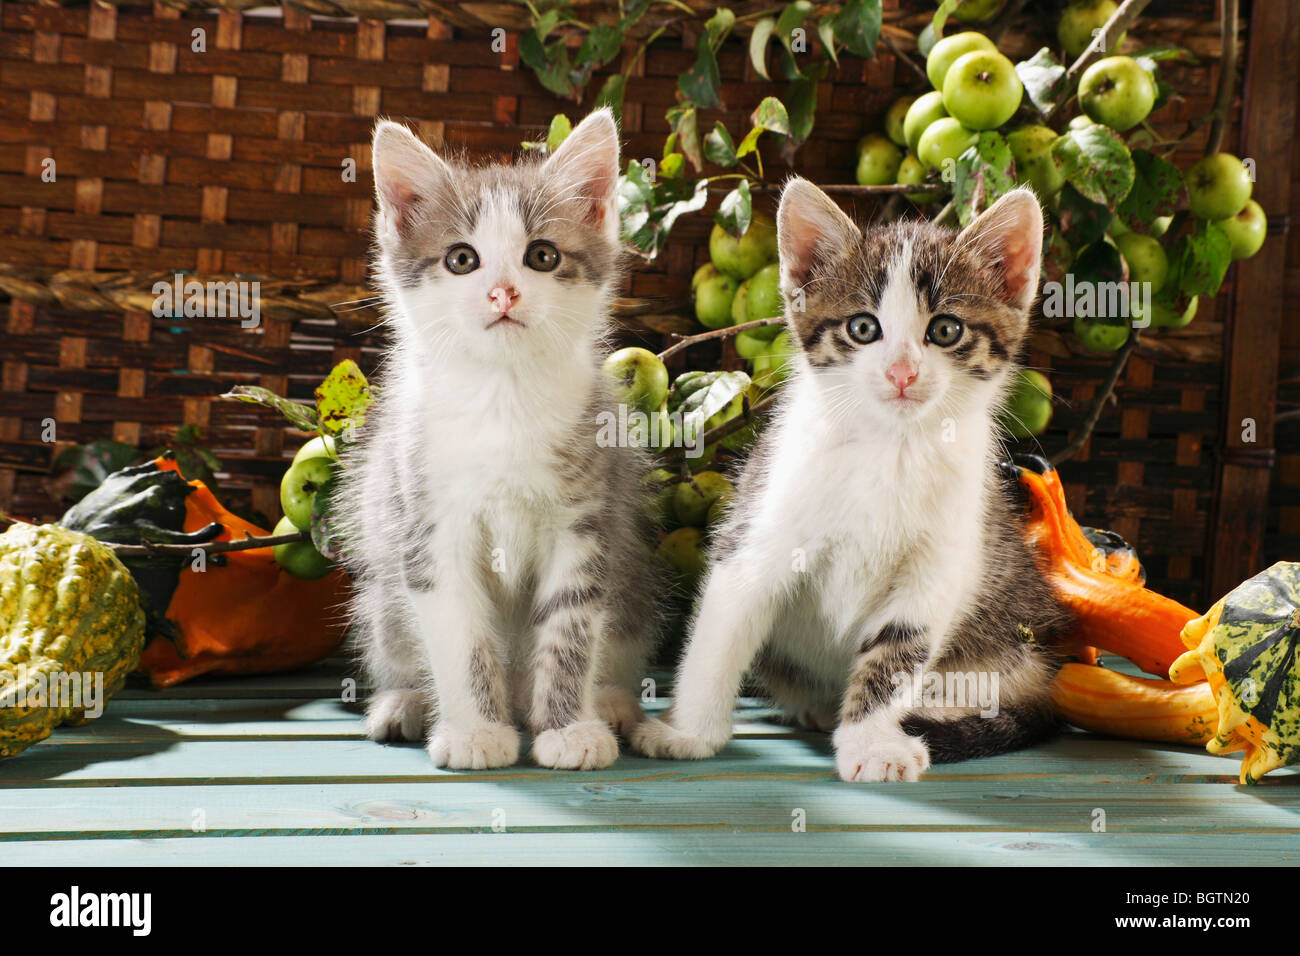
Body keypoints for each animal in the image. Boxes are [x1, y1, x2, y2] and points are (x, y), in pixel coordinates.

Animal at [338, 110, 660, 770]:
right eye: (463, 259)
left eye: (542, 255)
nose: (503, 292)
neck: (502, 395)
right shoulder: (427, 522)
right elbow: (461, 633)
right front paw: (475, 731)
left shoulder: (586, 521)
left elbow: (570, 626)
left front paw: (568, 729)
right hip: (382, 592)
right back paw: (404, 702)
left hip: (633, 577)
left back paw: (610, 703)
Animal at [629, 180, 1066, 785]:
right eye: (863, 328)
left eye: (945, 329)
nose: (901, 372)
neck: (890, 445)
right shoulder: (759, 525)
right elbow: (719, 637)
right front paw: (689, 732)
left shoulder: (938, 565)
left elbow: (897, 652)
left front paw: (871, 742)